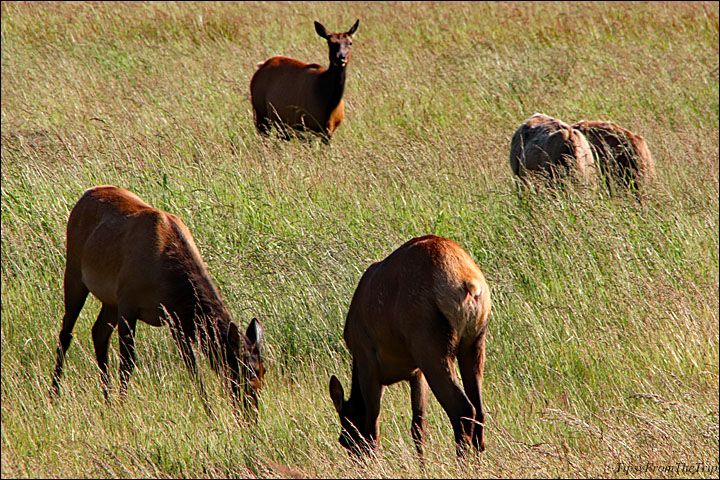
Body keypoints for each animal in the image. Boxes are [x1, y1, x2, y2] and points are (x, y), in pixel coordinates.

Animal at [50, 185, 264, 413]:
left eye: (263, 370)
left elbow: (192, 367)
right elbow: (128, 362)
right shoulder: (128, 303)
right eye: (244, 369)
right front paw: (123, 405)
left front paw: (209, 411)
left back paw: (107, 399)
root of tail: (84, 196)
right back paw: (55, 395)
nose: (252, 411)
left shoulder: (176, 320)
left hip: (110, 300)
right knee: (66, 333)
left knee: (98, 332)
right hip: (74, 273)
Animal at [328, 235, 492, 458]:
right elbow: (418, 428)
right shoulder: (416, 372)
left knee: (463, 409)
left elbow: (372, 429)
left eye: (344, 440)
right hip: (474, 342)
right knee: (480, 410)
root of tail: (469, 284)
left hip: (431, 345)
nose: (356, 460)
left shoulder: (367, 361)